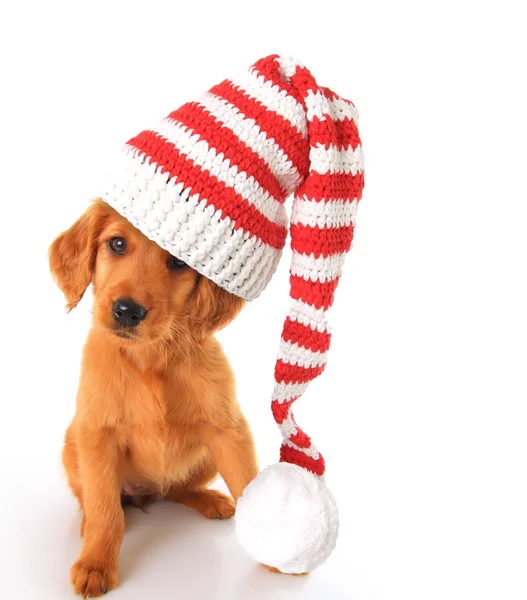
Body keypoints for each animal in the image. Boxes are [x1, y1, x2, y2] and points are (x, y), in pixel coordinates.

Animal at [48, 200, 258, 596]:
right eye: (117, 244)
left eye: (177, 262)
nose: (127, 311)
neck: (151, 357)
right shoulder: (97, 435)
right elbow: (105, 510)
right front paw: (96, 562)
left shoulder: (229, 429)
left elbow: (248, 478)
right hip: (72, 447)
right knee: (98, 500)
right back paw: (87, 523)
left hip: (205, 458)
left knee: (177, 488)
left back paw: (208, 499)